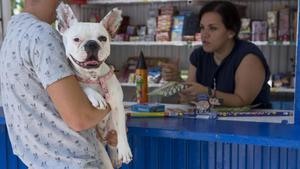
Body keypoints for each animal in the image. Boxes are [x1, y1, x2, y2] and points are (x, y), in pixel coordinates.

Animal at [56, 2, 131, 169]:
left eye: (103, 38)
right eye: (76, 39)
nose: (92, 44)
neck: (93, 77)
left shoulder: (117, 105)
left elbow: (122, 132)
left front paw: (125, 150)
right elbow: (84, 87)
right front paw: (96, 97)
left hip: (111, 127)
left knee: (113, 142)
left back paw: (115, 156)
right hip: (98, 146)